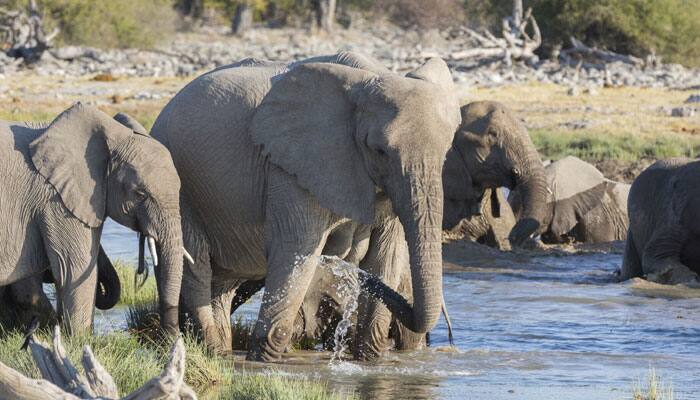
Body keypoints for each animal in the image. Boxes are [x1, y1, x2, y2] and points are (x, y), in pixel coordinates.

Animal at [150, 51, 462, 360]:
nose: (342, 262)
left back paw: (221, 351)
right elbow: (296, 251)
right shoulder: (290, 166)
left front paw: (369, 358)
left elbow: (386, 257)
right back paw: (213, 351)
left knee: (223, 285)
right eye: (379, 150)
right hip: (178, 189)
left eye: (447, 151)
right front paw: (262, 363)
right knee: (197, 267)